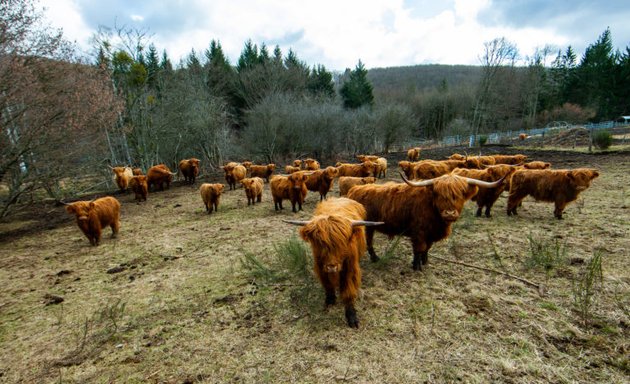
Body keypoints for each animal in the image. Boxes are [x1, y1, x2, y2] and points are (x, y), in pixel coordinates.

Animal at [286, 198, 386, 328]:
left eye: (342, 243)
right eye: (320, 243)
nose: (331, 267)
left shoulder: (350, 269)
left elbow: (348, 291)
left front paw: (351, 316)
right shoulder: (320, 267)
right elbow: (328, 286)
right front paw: (330, 301)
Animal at [350, 173, 508, 270]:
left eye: (460, 194)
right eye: (440, 194)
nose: (449, 213)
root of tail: (355, 189)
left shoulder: (431, 234)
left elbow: (427, 248)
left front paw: (425, 262)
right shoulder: (419, 232)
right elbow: (419, 249)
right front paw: (416, 266)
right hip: (367, 226)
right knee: (369, 242)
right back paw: (375, 258)